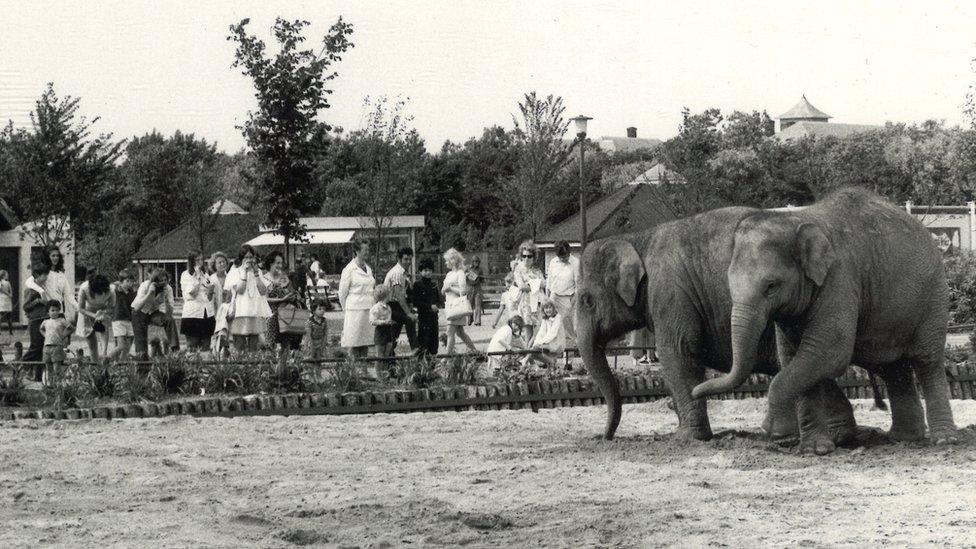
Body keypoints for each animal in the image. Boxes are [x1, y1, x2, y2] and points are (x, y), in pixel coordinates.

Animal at [576, 206, 864, 440]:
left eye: (586, 300)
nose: (604, 437)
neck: (638, 239)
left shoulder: (670, 293)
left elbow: (677, 353)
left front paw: (687, 438)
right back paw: (840, 435)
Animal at [692, 188, 956, 454]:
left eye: (771, 286)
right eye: (729, 285)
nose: (696, 392)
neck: (795, 220)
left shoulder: (840, 278)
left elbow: (828, 351)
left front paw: (775, 430)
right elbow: (796, 358)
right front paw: (815, 450)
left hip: (933, 297)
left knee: (926, 360)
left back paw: (943, 440)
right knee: (892, 368)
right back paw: (904, 439)